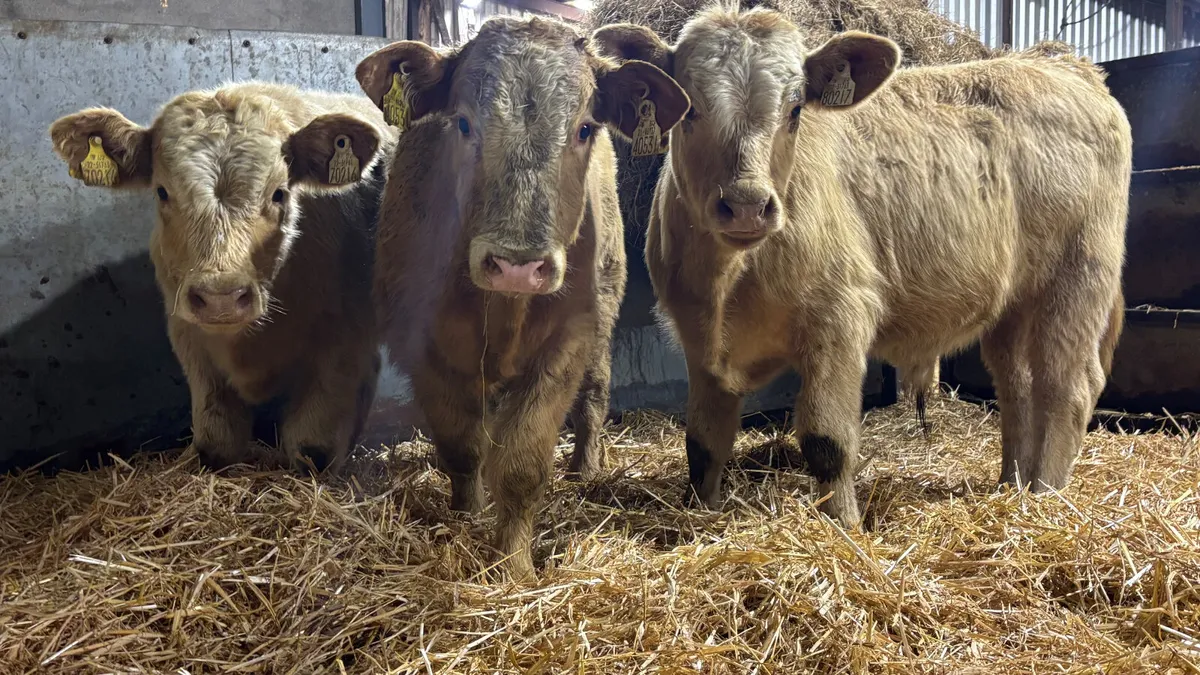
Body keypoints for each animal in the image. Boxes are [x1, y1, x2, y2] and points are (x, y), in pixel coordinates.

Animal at [50, 83, 393, 475]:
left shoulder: (343, 345)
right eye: (162, 192)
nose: (221, 298)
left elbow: (311, 451)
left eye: (279, 193)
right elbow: (217, 444)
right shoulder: (190, 339)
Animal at [354, 16, 689, 579]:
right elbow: (463, 446)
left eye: (584, 128)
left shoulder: (565, 344)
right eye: (463, 123)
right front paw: (467, 512)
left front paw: (513, 567)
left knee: (594, 399)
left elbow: (522, 465)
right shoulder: (425, 348)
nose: (517, 265)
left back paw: (585, 468)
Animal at [592, 7, 1130, 527]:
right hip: (1014, 302)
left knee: (1067, 386)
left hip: (1079, 276)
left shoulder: (839, 318)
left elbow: (827, 441)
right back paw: (1010, 486)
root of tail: (1064, 65)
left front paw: (844, 526)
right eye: (689, 110)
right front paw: (698, 513)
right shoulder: (700, 344)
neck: (730, 278)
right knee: (1016, 386)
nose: (746, 206)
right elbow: (703, 444)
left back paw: (1045, 497)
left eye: (796, 110)